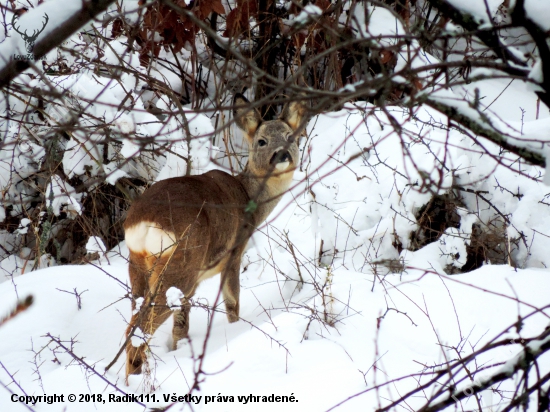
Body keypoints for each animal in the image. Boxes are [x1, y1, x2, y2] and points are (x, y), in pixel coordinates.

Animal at [122, 94, 308, 380]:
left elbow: (182, 324)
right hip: (180, 264)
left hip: (139, 266)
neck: (248, 199)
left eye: (291, 137)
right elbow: (232, 304)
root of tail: (143, 222)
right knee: (139, 326)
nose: (282, 154)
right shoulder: (234, 253)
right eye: (261, 141)